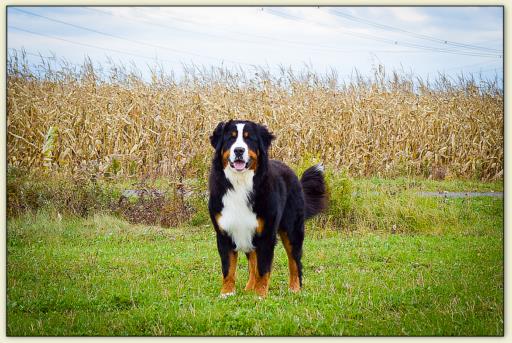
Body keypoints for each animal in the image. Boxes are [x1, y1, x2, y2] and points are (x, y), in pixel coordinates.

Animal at [209, 120, 326, 298]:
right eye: (231, 138)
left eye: (249, 139)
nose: (239, 150)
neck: (240, 184)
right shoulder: (225, 232)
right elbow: (228, 268)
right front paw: (227, 293)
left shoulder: (266, 233)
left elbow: (263, 268)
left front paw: (260, 294)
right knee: (253, 262)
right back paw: (249, 288)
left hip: (292, 231)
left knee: (295, 262)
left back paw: (295, 288)